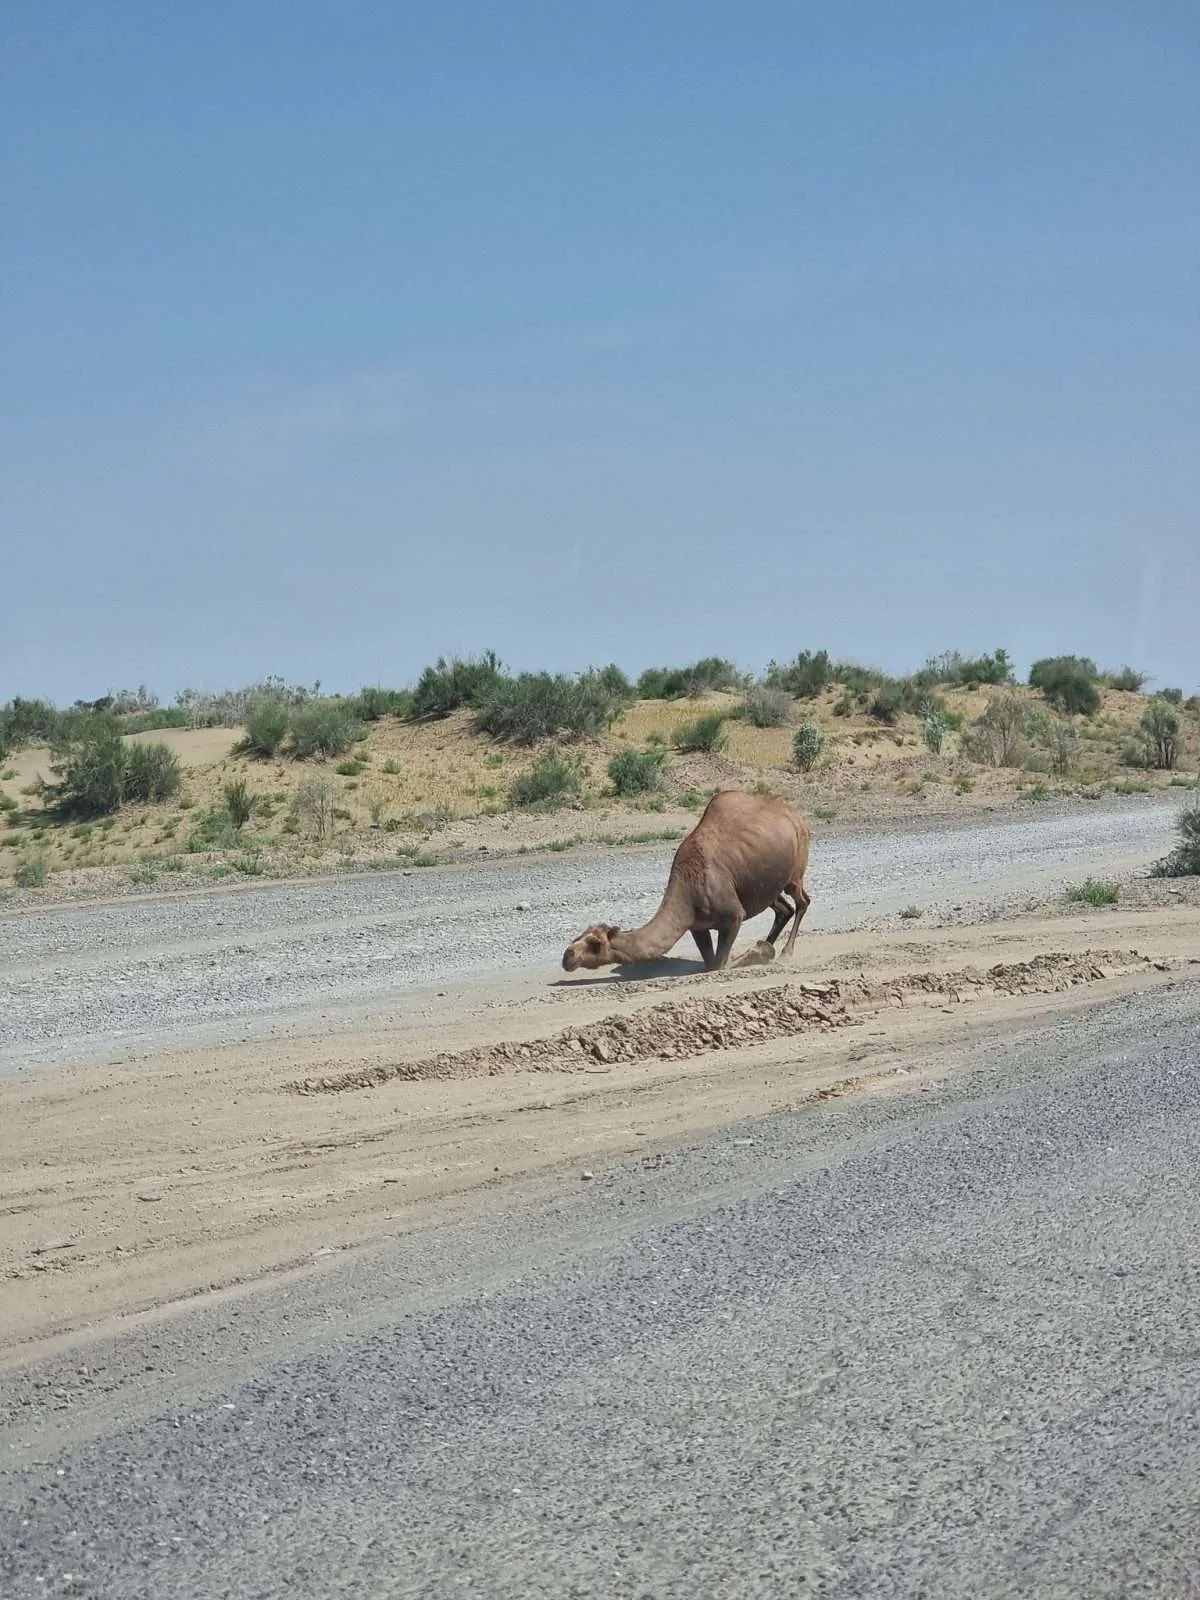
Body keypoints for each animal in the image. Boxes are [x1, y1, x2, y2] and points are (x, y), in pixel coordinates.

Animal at [562, 790, 812, 974]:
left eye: (595, 944)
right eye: (577, 937)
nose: (567, 956)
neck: (687, 892)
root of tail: (795, 814)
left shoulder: (733, 916)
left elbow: (719, 964)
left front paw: (760, 952)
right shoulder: (697, 926)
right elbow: (711, 963)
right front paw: (762, 949)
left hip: (796, 868)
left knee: (801, 901)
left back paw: (785, 952)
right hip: (765, 885)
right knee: (783, 908)